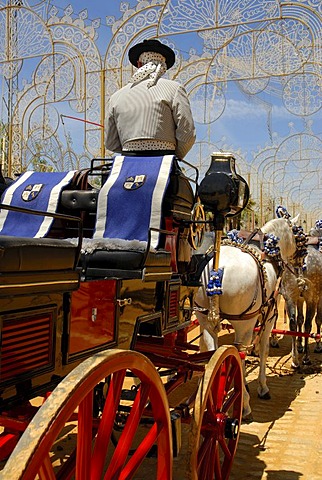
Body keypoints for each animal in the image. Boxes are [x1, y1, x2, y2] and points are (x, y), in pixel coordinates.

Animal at [194, 217, 296, 420]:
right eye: (296, 234)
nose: (299, 256)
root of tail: (218, 270)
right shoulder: (269, 315)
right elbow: (264, 349)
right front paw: (263, 387)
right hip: (244, 325)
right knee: (239, 355)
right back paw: (245, 405)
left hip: (205, 318)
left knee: (212, 351)